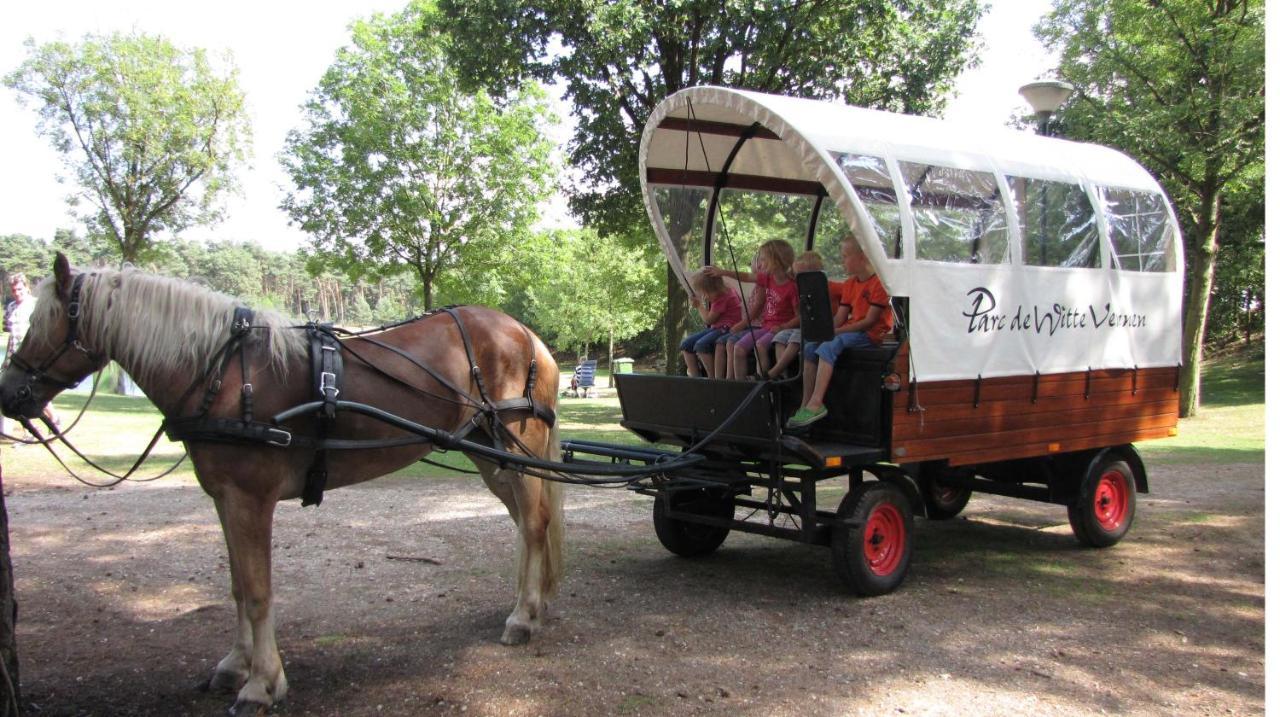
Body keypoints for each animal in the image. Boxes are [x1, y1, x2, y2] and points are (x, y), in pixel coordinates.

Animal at [0, 254, 565, 711]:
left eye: (43, 322)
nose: (10, 394)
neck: (225, 374)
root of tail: (528, 336)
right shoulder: (223, 498)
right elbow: (235, 585)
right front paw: (235, 664)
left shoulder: (251, 499)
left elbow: (257, 590)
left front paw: (262, 683)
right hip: (489, 455)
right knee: (523, 525)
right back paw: (531, 604)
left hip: (517, 448)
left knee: (535, 523)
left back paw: (522, 616)